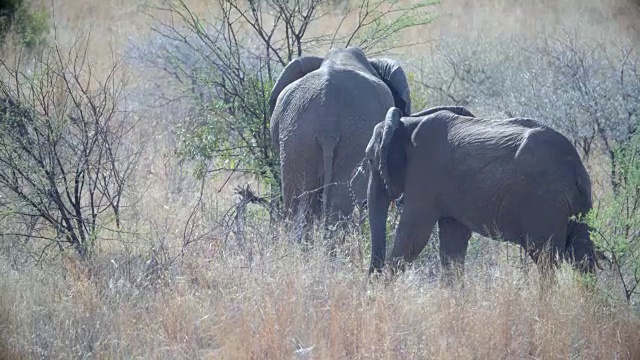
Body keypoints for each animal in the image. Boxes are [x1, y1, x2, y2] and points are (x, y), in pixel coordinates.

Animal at [362, 105, 604, 280]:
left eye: (370, 159)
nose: (371, 284)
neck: (407, 122)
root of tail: (575, 167)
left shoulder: (425, 174)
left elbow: (413, 235)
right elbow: (453, 244)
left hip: (545, 202)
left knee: (546, 258)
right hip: (577, 203)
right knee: (582, 256)